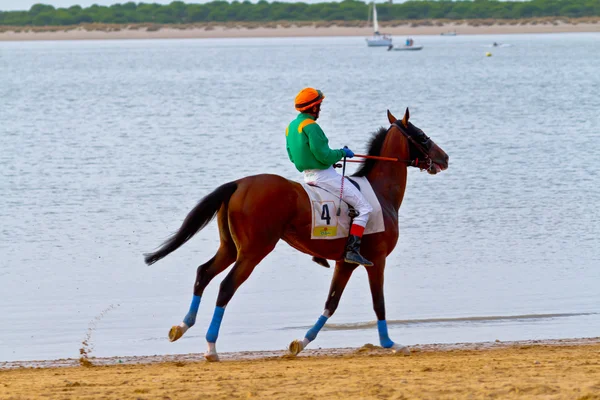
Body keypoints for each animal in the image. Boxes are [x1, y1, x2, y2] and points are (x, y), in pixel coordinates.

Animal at [144, 109, 446, 362]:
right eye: (421, 134)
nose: (445, 157)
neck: (380, 192)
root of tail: (239, 183)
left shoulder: (345, 262)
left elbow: (331, 303)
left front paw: (300, 343)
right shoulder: (377, 260)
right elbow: (378, 303)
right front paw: (391, 344)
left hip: (230, 248)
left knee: (203, 273)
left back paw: (182, 327)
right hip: (254, 251)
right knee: (226, 286)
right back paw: (211, 347)